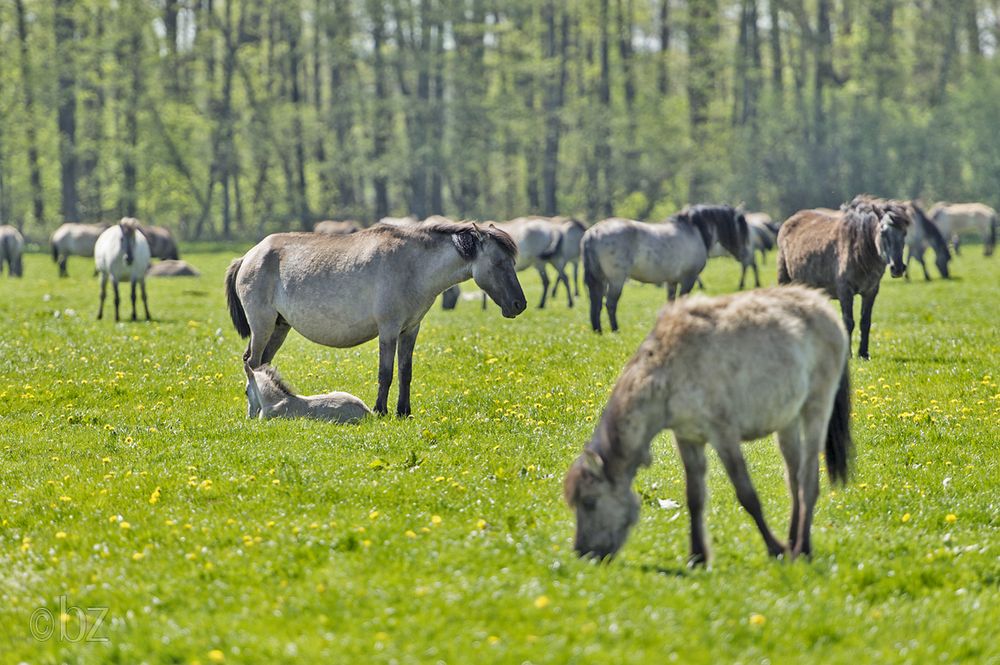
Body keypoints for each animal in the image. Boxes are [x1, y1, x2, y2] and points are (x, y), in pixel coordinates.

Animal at [568, 288, 848, 564]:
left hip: (816, 408)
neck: (667, 370)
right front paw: (697, 556)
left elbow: (747, 495)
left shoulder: (724, 435)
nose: (583, 553)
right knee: (793, 478)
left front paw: (774, 548)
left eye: (590, 502)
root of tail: (823, 304)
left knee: (808, 480)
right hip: (787, 421)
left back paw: (804, 547)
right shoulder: (688, 438)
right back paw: (793, 541)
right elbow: (694, 497)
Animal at [584, 205, 748, 332]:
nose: (745, 254)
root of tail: (594, 232)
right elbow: (682, 301)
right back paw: (615, 330)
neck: (693, 232)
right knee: (610, 304)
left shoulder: (672, 281)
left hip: (600, 279)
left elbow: (671, 303)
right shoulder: (688, 279)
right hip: (616, 280)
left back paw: (598, 331)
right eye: (741, 229)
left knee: (596, 303)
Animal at [776, 196, 912, 360]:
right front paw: (848, 354)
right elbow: (848, 322)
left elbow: (865, 322)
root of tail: (788, 222)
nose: (897, 268)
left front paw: (863, 353)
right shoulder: (845, 291)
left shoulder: (871, 291)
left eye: (904, 233)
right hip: (785, 279)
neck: (860, 249)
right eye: (883, 232)